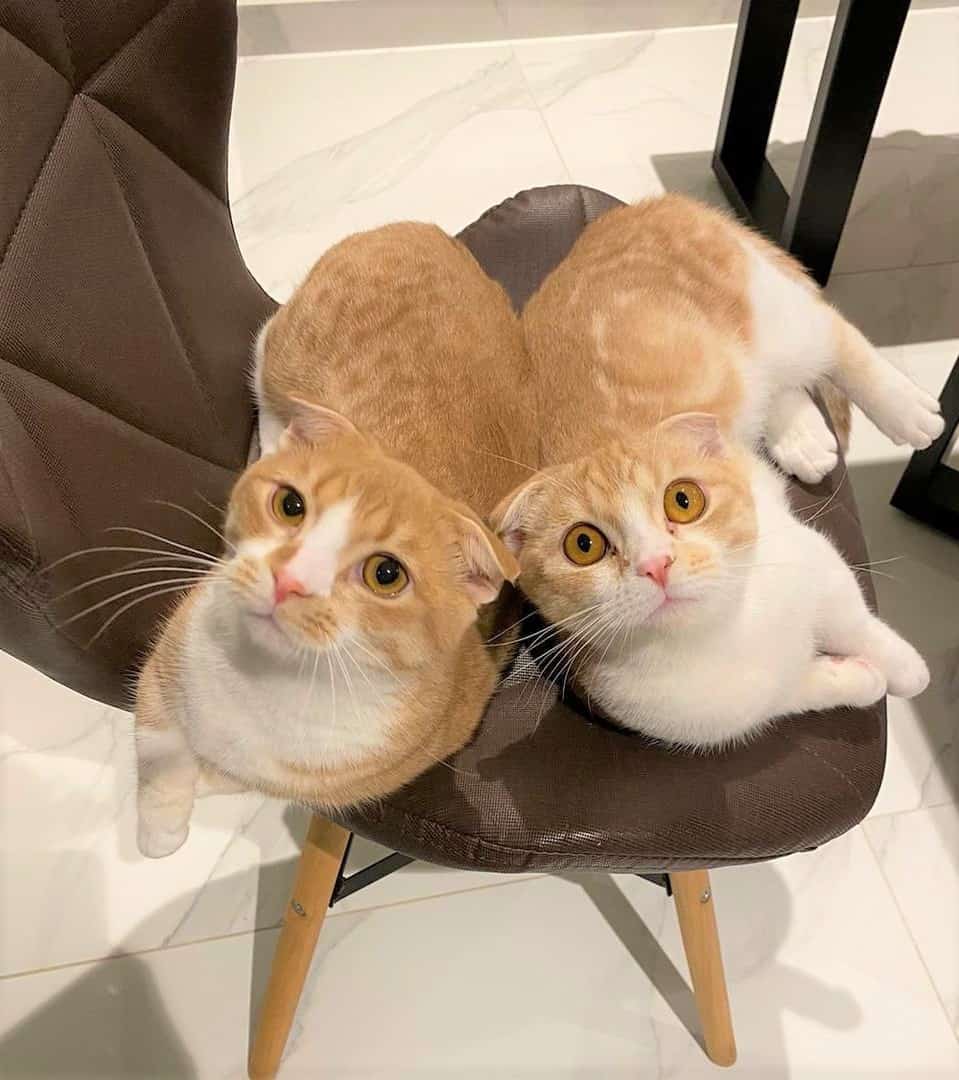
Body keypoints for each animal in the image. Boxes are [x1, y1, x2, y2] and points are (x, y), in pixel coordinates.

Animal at [132, 223, 531, 855]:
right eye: (290, 506)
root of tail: (426, 230)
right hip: (283, 352)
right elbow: (160, 740)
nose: (289, 580)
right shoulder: (172, 650)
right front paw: (160, 826)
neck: (263, 682)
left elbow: (227, 775)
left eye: (386, 574)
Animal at [494, 194, 937, 747]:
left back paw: (908, 410)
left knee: (834, 336)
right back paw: (803, 438)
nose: (656, 564)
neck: (717, 637)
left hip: (771, 316)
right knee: (779, 385)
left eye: (682, 501)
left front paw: (904, 668)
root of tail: (641, 208)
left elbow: (852, 618)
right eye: (584, 544)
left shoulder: (815, 561)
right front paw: (859, 679)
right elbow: (796, 691)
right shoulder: (733, 708)